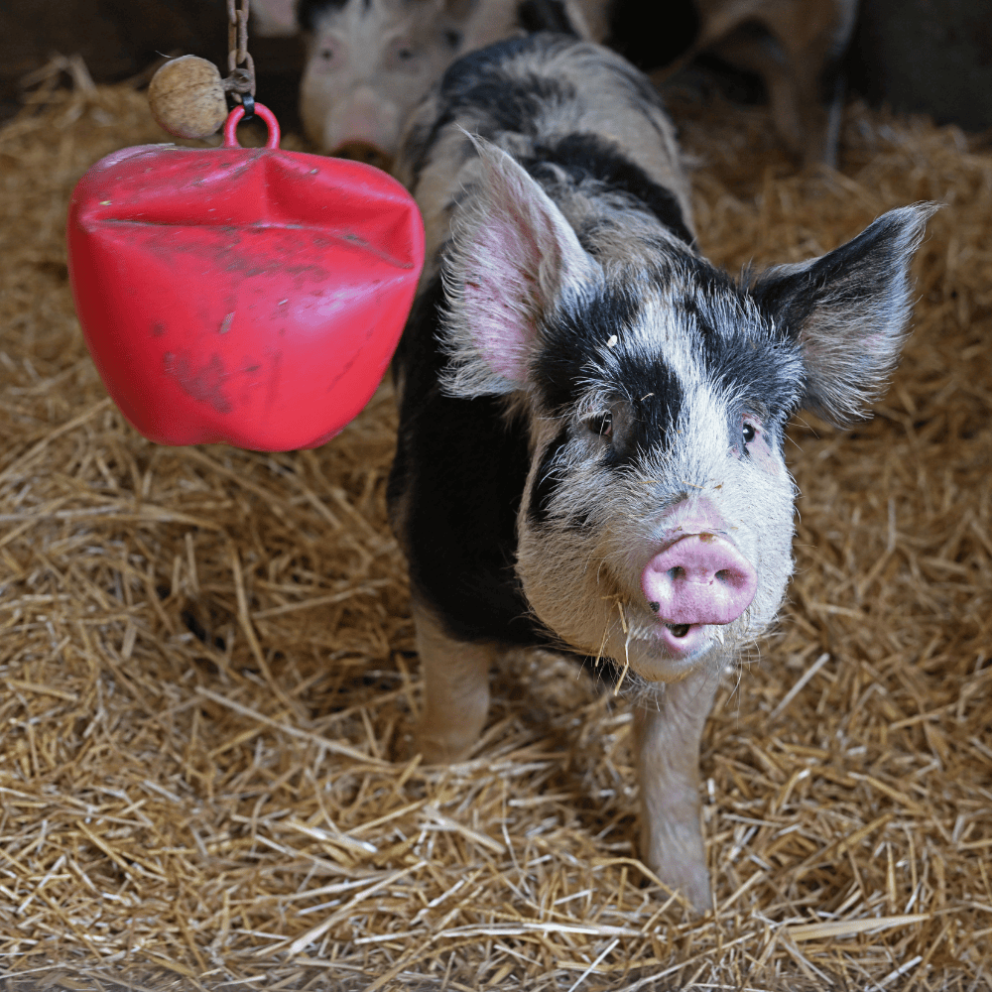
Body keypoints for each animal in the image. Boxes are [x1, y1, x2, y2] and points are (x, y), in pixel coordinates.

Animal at [390, 33, 936, 916]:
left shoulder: (710, 656)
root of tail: (536, 40)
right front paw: (424, 789)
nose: (700, 541)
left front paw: (692, 903)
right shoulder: (433, 563)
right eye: (602, 422)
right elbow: (458, 711)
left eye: (749, 430)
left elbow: (671, 762)